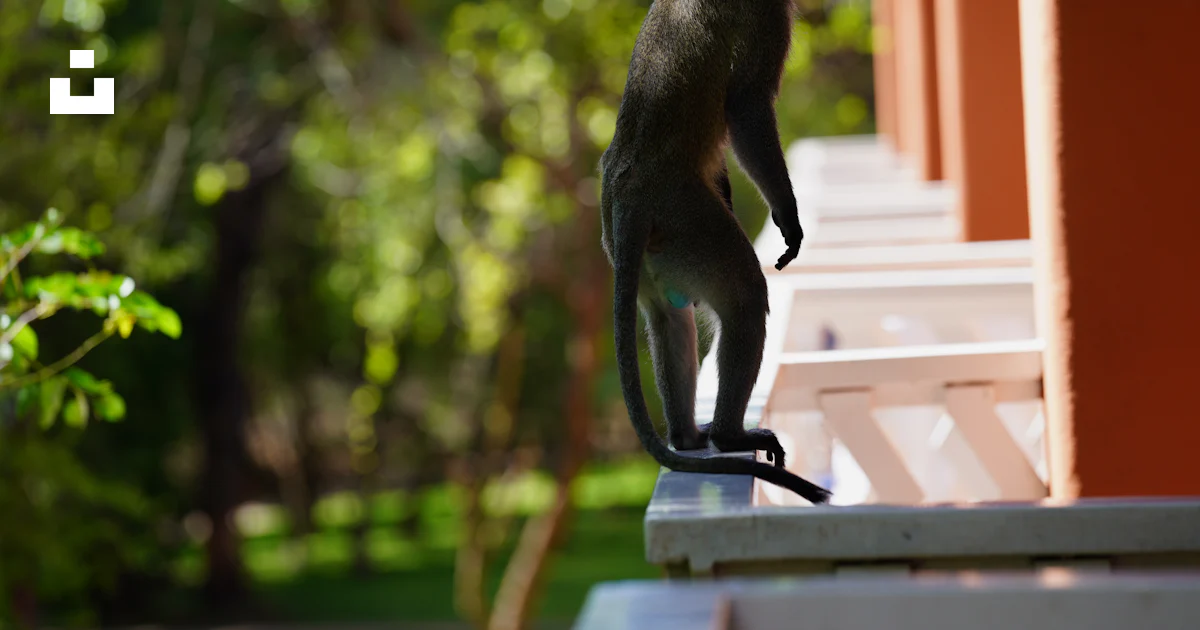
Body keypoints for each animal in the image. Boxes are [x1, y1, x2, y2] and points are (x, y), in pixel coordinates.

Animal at [598, 0, 832, 504]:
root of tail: (629, 193)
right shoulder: (767, 15)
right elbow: (746, 107)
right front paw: (787, 215)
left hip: (657, 243)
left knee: (668, 318)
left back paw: (688, 437)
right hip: (690, 219)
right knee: (745, 298)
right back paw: (729, 436)